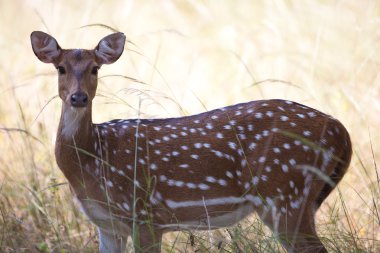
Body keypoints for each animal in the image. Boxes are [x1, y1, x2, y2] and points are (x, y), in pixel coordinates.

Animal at [31, 31, 352, 253]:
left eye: (95, 68)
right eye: (60, 68)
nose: (78, 97)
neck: (93, 159)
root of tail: (340, 130)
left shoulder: (145, 214)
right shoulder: (107, 225)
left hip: (286, 194)